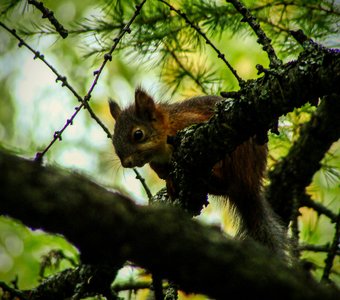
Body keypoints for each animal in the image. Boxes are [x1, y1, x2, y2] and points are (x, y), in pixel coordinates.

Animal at [109, 86, 286, 255]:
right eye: (114, 140)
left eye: (138, 134)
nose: (126, 163)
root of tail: (250, 186)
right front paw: (168, 180)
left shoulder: (191, 122)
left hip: (238, 153)